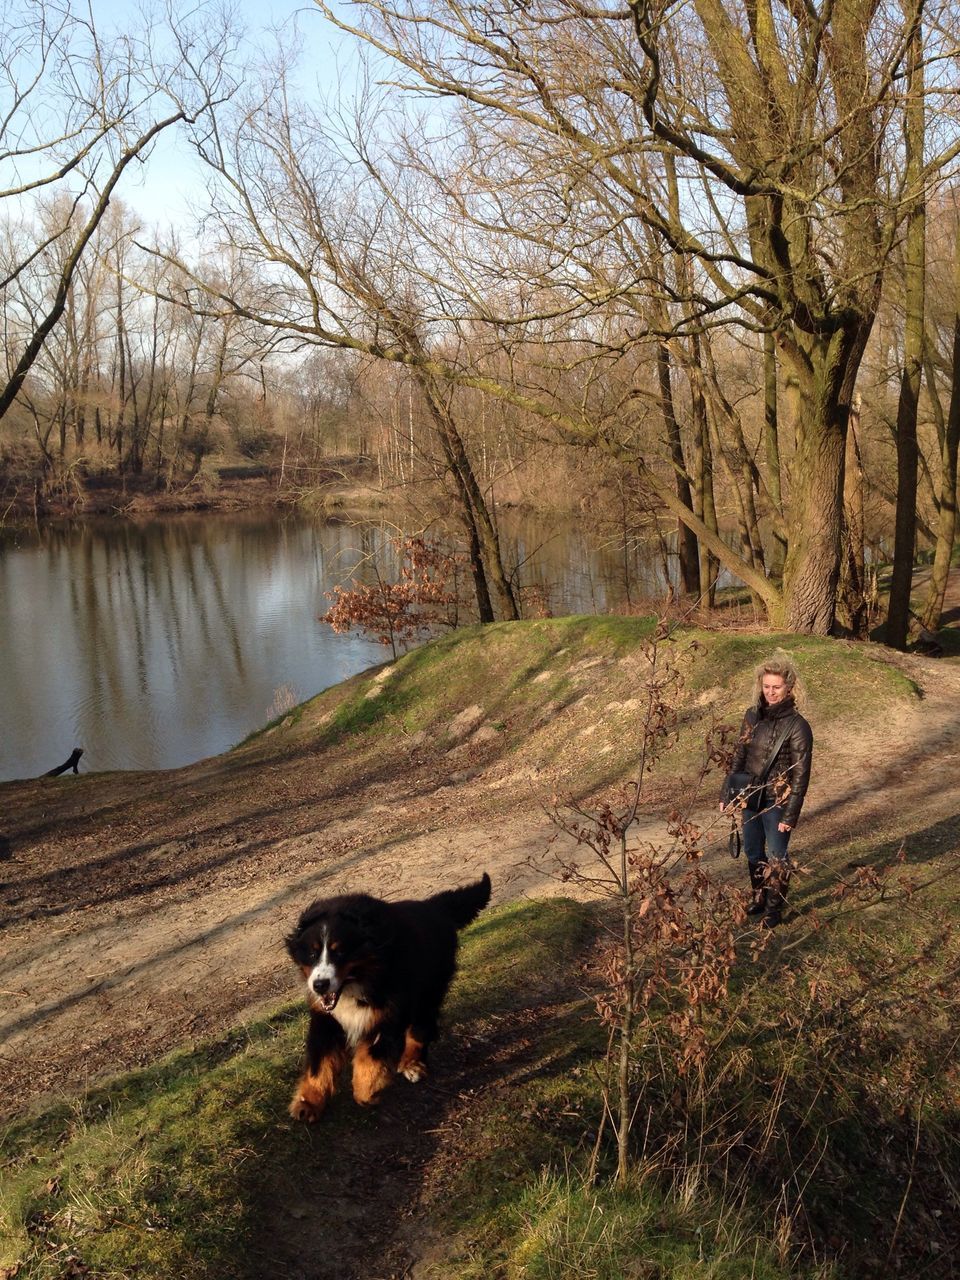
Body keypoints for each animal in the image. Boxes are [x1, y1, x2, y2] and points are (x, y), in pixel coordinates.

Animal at [284, 870, 496, 1121]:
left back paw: (412, 1063)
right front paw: (308, 1102)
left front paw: (367, 1091)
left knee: (421, 1027)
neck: (359, 980)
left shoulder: (388, 1013)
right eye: (312, 953)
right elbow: (320, 1062)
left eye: (340, 952)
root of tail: (434, 907)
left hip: (428, 990)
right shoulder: (326, 1019)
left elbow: (371, 1056)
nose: (319, 985)